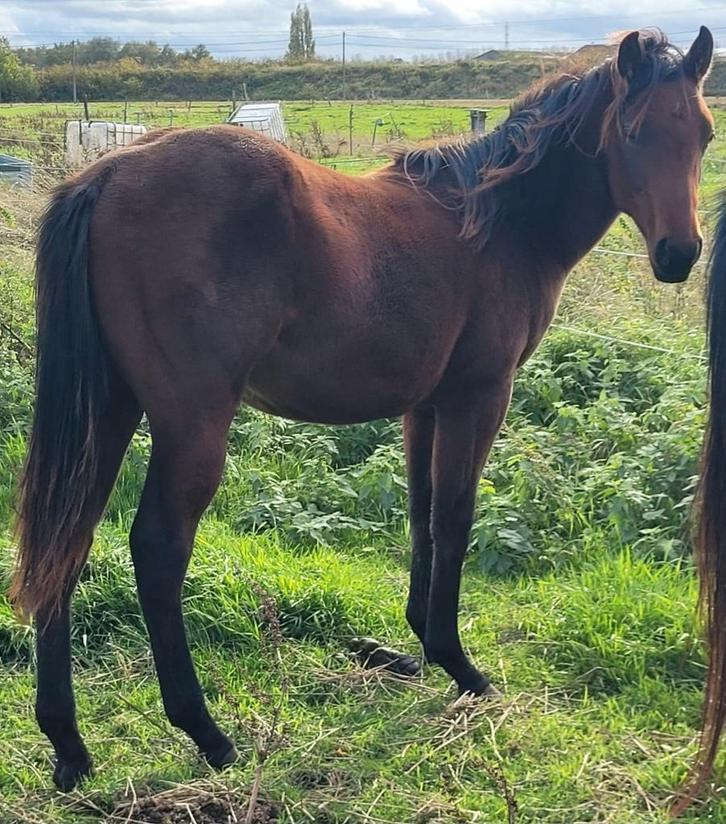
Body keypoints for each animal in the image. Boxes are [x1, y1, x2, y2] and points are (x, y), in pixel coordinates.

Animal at [10, 26, 717, 811]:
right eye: (634, 131)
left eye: (704, 134)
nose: (680, 254)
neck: (495, 222)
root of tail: (106, 175)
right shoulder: (479, 397)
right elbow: (454, 520)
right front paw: (461, 667)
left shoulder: (425, 407)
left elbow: (421, 517)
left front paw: (419, 645)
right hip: (191, 425)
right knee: (157, 551)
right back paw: (206, 732)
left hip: (107, 413)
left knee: (65, 543)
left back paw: (69, 747)